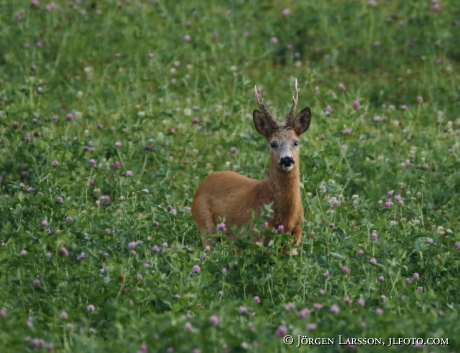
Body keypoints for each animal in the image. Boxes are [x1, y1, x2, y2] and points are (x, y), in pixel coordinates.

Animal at [190, 80, 312, 253]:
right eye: (272, 143)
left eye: (296, 142)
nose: (287, 160)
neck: (285, 219)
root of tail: (203, 183)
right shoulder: (255, 235)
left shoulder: (295, 239)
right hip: (205, 227)